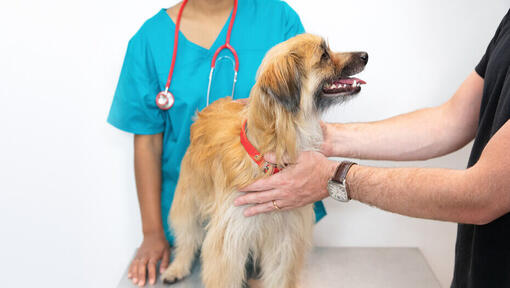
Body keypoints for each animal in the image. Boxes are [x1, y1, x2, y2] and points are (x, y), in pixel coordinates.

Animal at [162, 34, 366, 288]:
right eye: (324, 55)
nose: (366, 55)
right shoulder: (229, 238)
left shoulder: (286, 235)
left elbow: (280, 274)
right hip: (189, 196)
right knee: (187, 234)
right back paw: (177, 266)